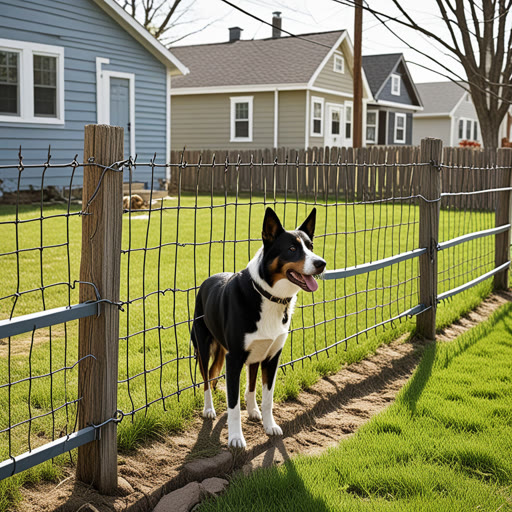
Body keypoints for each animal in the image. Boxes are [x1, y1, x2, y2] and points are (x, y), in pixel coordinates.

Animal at [190, 206, 326, 446]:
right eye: (292, 248)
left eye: (310, 246)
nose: (321, 263)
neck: (269, 296)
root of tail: (209, 279)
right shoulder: (233, 358)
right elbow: (233, 405)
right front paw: (236, 438)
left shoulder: (272, 356)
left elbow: (267, 397)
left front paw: (269, 426)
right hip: (203, 346)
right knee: (206, 379)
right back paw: (208, 409)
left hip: (256, 352)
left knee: (249, 382)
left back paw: (253, 410)